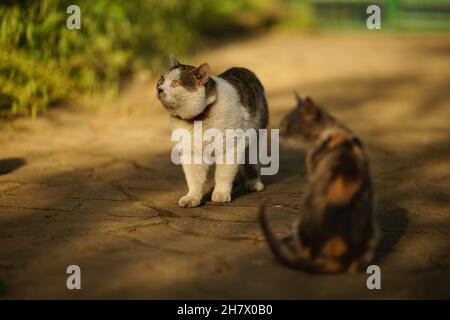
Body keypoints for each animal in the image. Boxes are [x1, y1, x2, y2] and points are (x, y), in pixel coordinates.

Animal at [156, 55, 268, 208]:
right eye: (161, 81)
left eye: (175, 83)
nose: (160, 89)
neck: (197, 120)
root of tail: (242, 69)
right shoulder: (191, 152)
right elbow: (193, 178)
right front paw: (192, 197)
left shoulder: (229, 147)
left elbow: (223, 173)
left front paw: (220, 193)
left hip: (255, 138)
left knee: (251, 162)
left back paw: (253, 183)